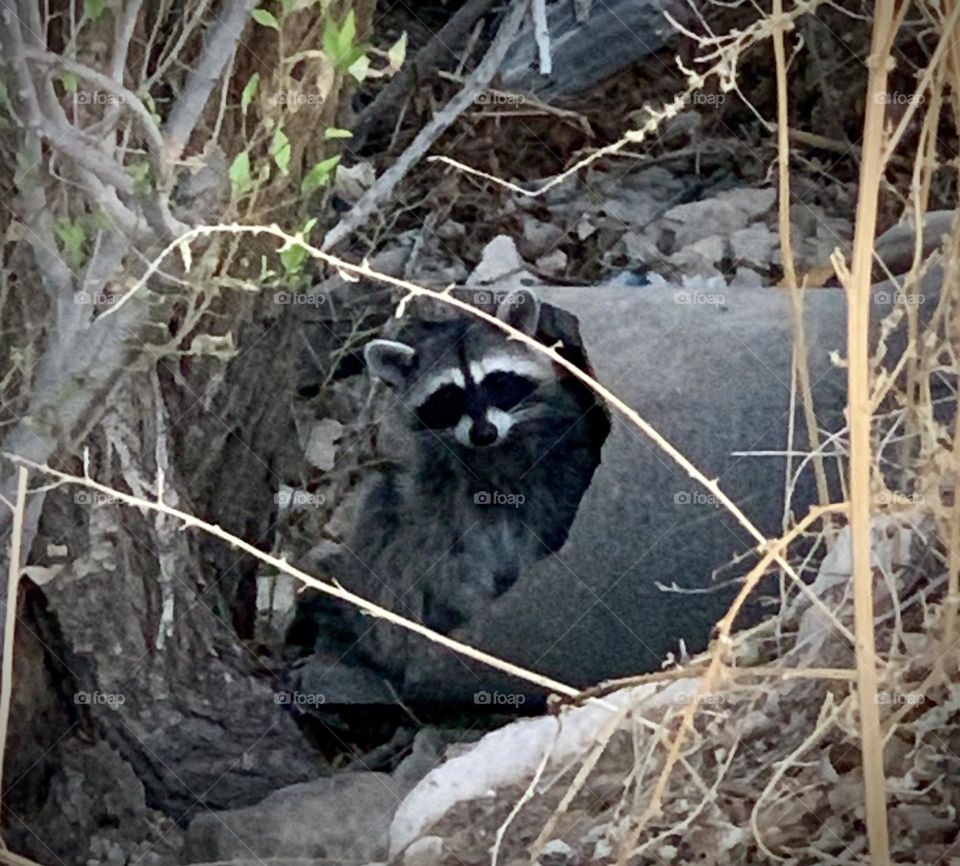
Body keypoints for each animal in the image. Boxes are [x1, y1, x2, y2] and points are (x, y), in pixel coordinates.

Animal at [312, 290, 604, 676]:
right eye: (448, 397)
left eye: (497, 382)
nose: (483, 433)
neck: (494, 451)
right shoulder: (437, 486)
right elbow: (447, 555)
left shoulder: (559, 455)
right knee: (385, 520)